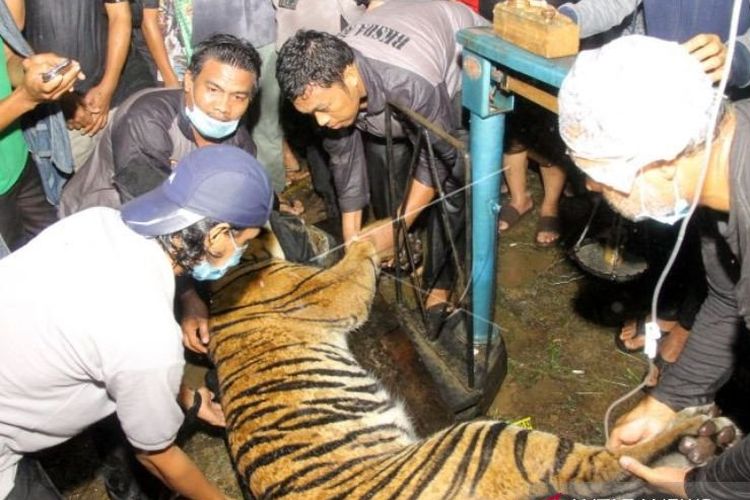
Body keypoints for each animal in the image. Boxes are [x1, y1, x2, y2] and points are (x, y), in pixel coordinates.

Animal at [209, 236, 736, 498]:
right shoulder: (332, 293)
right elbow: (352, 264)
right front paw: (369, 235)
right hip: (483, 439)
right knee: (602, 466)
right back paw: (696, 428)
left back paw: (706, 442)